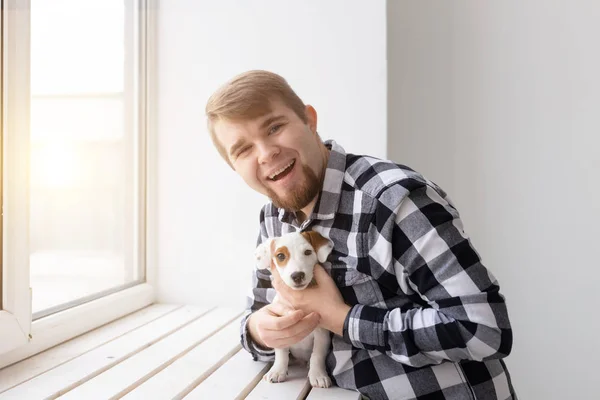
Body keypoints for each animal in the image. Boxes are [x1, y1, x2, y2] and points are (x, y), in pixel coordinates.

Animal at [255, 230, 336, 390]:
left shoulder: (322, 334)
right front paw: (277, 370)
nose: (297, 275)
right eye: (280, 256)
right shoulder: (279, 328)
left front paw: (318, 374)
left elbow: (317, 355)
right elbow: (281, 353)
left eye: (308, 252)